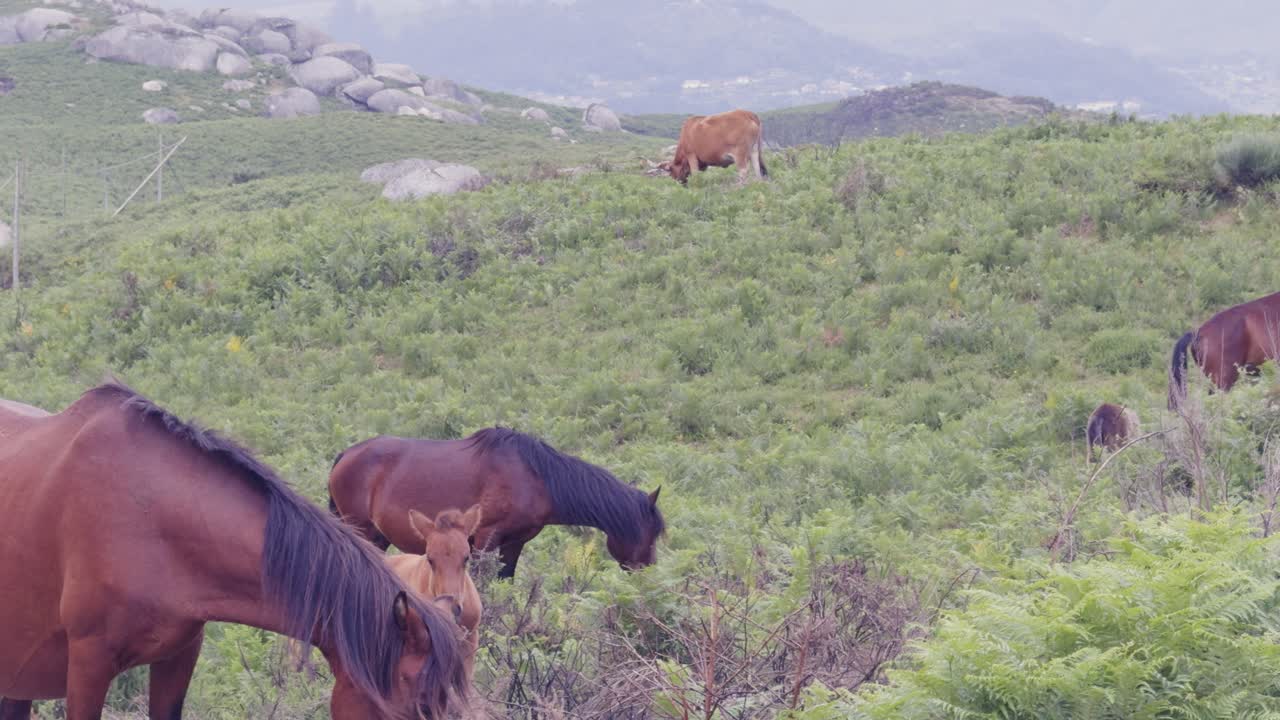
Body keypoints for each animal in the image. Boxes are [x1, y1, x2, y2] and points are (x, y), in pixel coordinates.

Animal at [329, 427, 665, 578]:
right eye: (649, 535)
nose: (649, 576)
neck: (535, 477)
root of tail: (346, 454)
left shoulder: (514, 543)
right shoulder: (485, 538)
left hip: (378, 536)